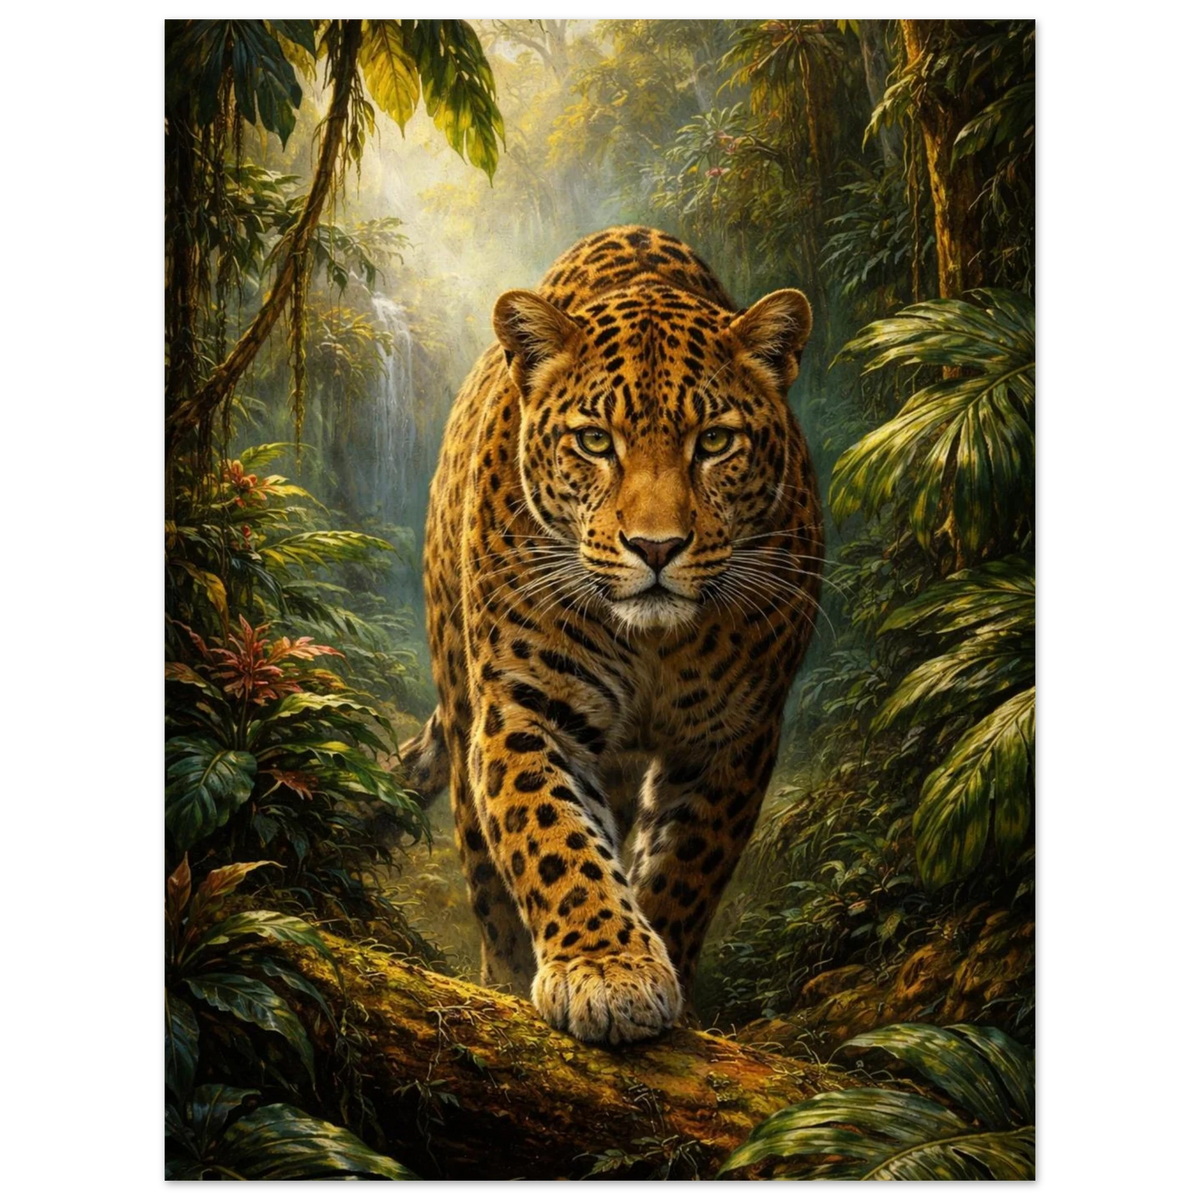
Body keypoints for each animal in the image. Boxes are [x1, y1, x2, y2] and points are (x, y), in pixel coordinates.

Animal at [399, 226, 823, 1045]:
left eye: (714, 441)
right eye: (595, 441)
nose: (656, 548)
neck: (653, 646)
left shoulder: (736, 733)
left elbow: (686, 867)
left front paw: (658, 963)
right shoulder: (526, 708)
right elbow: (552, 841)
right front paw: (608, 969)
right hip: (460, 694)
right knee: (484, 866)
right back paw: (505, 974)